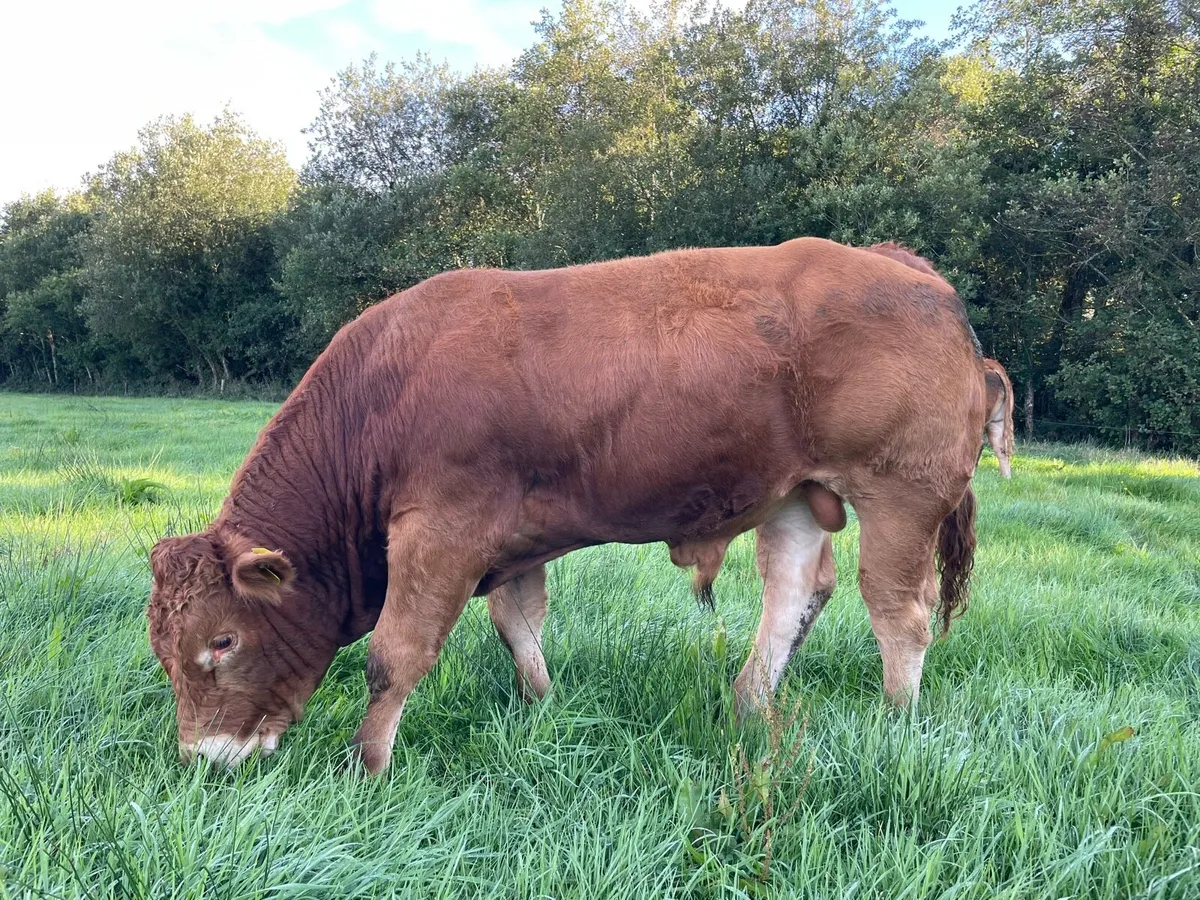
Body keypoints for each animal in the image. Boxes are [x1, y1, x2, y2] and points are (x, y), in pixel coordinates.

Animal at [149, 237, 991, 775]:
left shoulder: (441, 531)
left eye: (221, 641)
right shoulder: (512, 539)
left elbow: (396, 654)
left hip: (900, 493)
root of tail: (901, 264)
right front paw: (544, 708)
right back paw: (751, 704)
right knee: (794, 593)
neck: (384, 390)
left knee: (898, 611)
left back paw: (895, 720)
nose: (202, 760)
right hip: (792, 495)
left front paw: (367, 765)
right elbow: (518, 626)